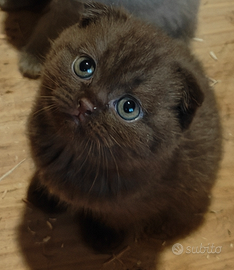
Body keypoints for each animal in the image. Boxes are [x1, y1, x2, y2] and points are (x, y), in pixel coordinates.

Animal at [24, 2, 222, 252]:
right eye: (84, 66)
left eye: (129, 108)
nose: (86, 105)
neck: (72, 154)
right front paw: (43, 195)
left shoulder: (132, 203)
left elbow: (116, 216)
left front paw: (104, 235)